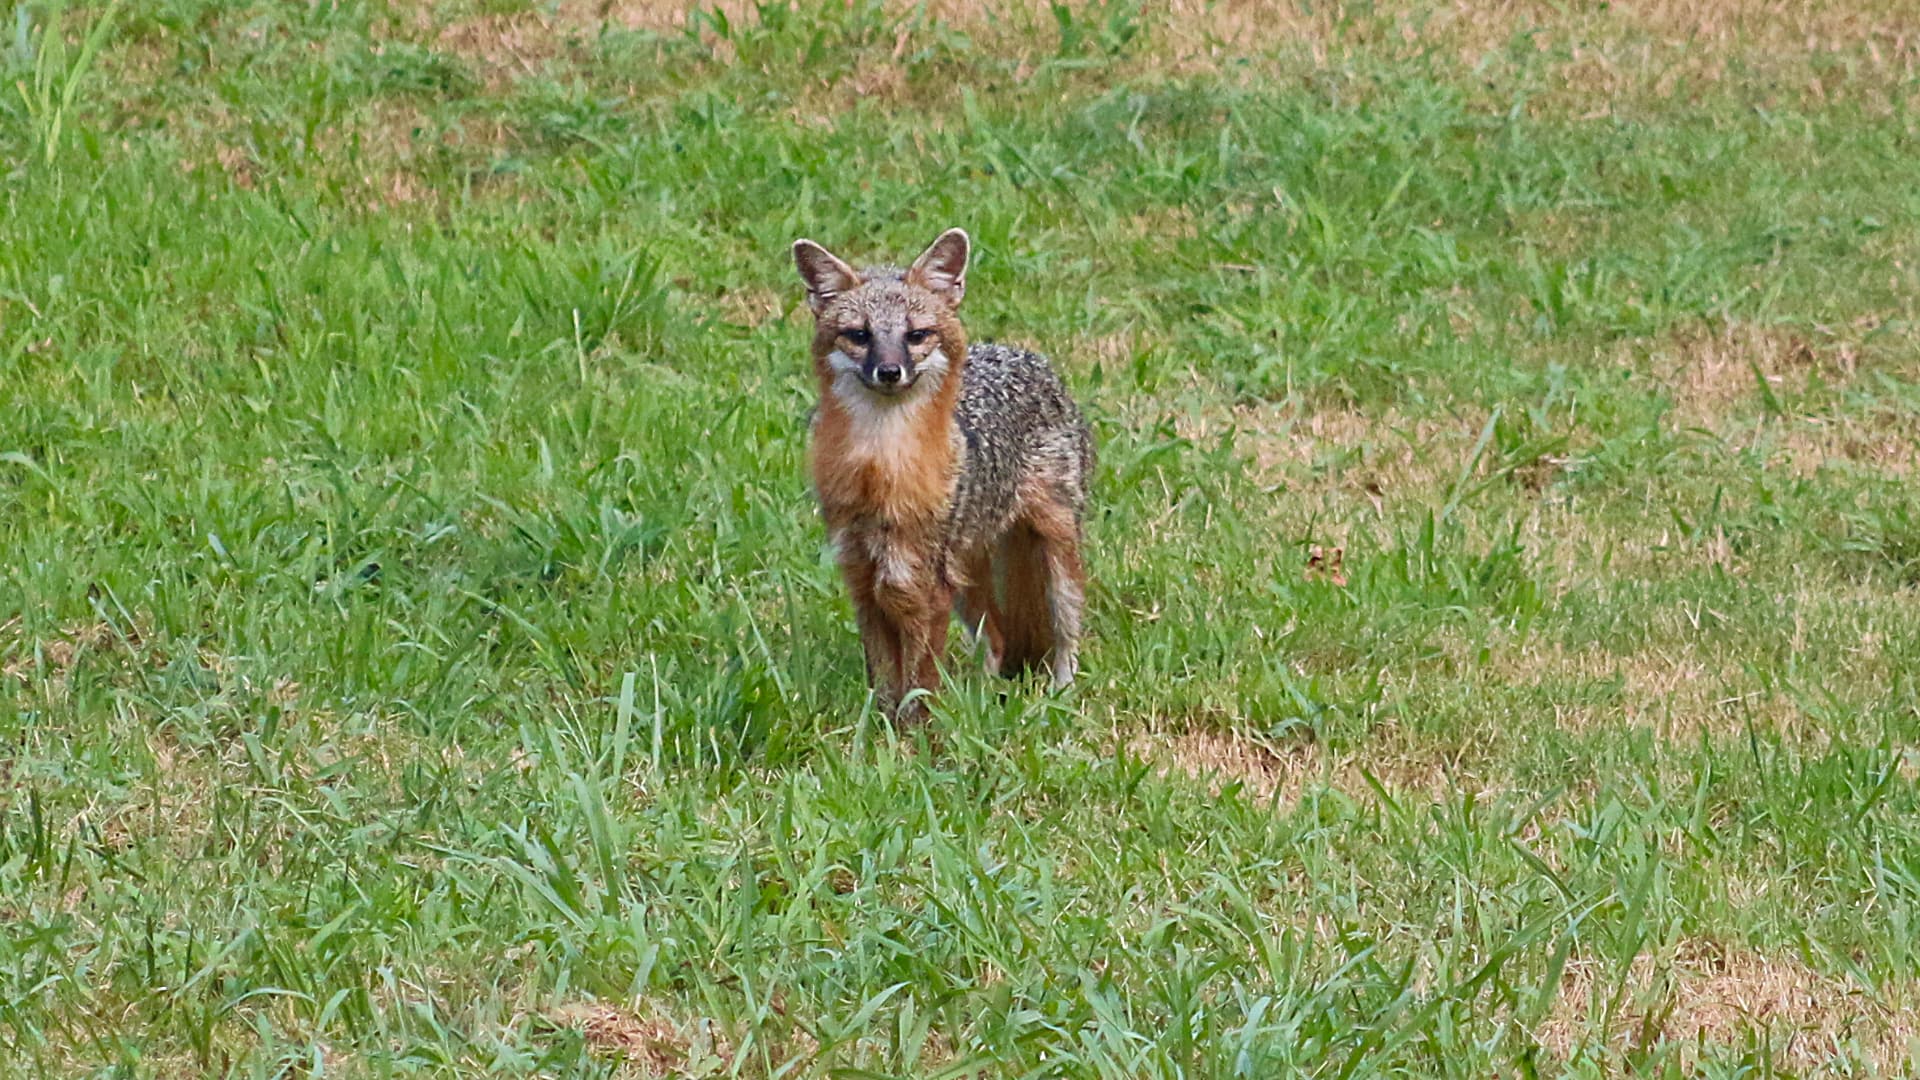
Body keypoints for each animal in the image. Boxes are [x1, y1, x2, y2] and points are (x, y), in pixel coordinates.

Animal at [791, 228, 1094, 723]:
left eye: (916, 335)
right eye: (859, 335)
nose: (889, 371)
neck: (880, 471)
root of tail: (1025, 355)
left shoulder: (920, 588)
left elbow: (919, 685)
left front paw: (914, 737)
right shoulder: (865, 581)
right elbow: (885, 681)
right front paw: (880, 730)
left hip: (1054, 556)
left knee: (1065, 634)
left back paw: (1059, 696)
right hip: (966, 583)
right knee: (997, 640)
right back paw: (983, 699)